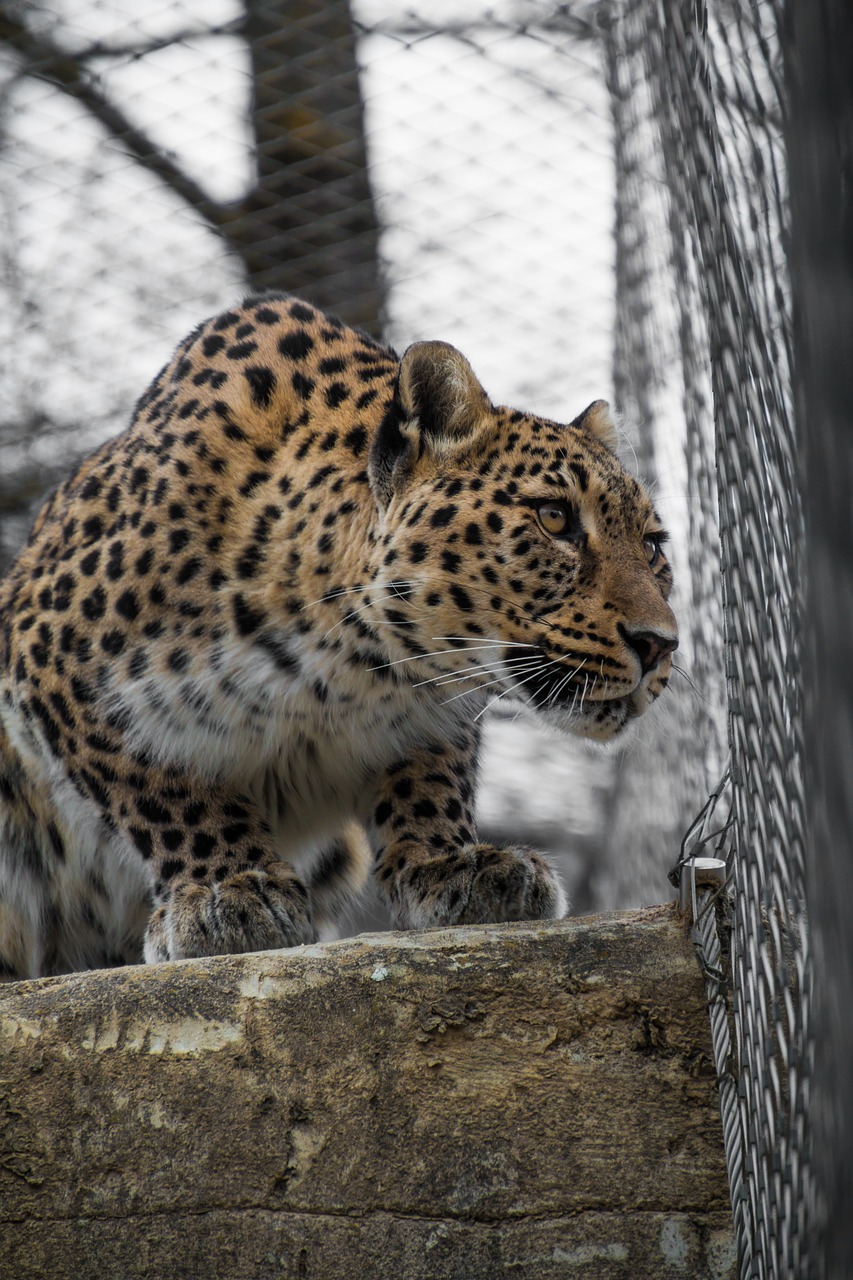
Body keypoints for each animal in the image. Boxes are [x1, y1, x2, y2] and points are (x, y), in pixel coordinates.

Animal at [0, 294, 676, 972]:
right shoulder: (48, 661)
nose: (660, 644)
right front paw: (229, 889)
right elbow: (163, 787)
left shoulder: (432, 710)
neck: (349, 665)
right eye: (554, 518)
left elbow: (431, 777)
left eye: (652, 545)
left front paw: (452, 865)